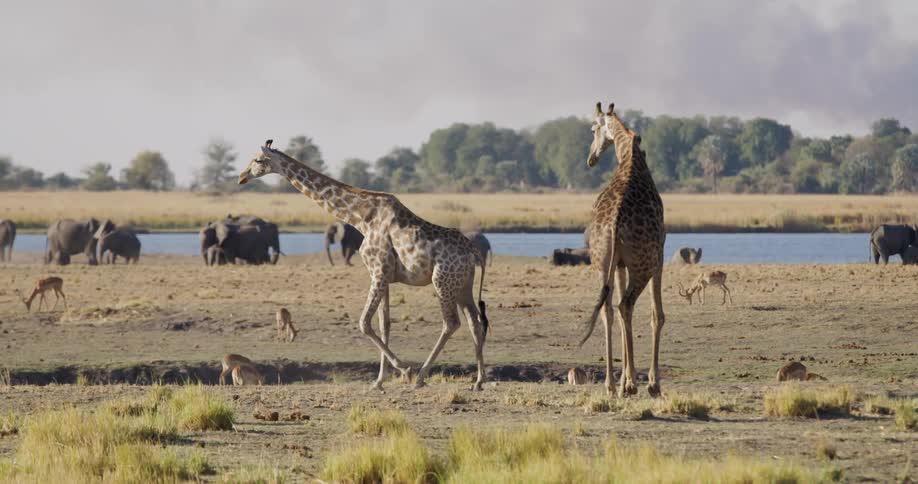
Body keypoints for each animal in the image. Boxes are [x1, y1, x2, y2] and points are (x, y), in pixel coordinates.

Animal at [239, 140, 490, 391]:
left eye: (258, 160)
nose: (242, 176)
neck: (360, 218)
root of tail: (473, 252)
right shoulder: (385, 276)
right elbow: (384, 324)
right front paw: (378, 381)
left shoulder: (378, 272)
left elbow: (364, 323)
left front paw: (404, 370)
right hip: (463, 284)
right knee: (475, 322)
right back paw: (478, 381)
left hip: (442, 281)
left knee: (451, 323)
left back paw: (421, 376)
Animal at [579, 102, 666, 398]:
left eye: (592, 129)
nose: (591, 158)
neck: (629, 154)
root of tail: (615, 223)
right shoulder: (661, 255)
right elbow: (656, 314)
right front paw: (649, 382)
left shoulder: (618, 263)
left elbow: (617, 312)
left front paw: (625, 379)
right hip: (644, 264)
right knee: (626, 304)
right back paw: (635, 385)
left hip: (601, 262)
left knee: (608, 308)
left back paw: (611, 384)